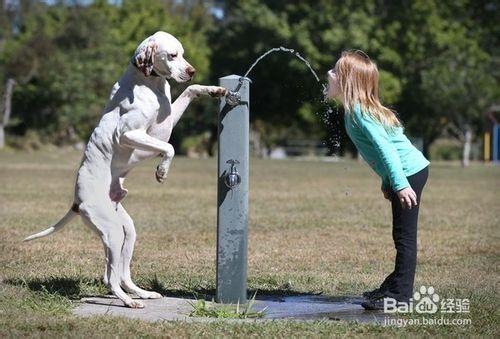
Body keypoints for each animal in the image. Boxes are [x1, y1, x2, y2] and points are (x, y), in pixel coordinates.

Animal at [23, 31, 227, 308]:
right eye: (172, 55)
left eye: (183, 54)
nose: (192, 70)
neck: (148, 83)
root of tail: (77, 201)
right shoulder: (131, 134)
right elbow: (170, 147)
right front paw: (162, 171)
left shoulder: (165, 124)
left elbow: (190, 91)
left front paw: (214, 90)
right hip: (112, 233)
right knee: (110, 278)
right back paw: (129, 301)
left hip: (127, 232)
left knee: (121, 274)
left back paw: (142, 293)